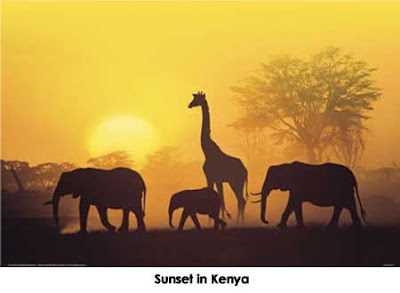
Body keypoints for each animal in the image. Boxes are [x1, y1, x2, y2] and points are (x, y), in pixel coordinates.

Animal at [188, 91, 247, 221]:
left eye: (197, 99)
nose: (189, 105)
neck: (207, 151)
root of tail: (246, 170)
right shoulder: (215, 179)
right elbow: (220, 200)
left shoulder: (212, 178)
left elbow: (218, 200)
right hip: (235, 183)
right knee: (241, 201)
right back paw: (240, 222)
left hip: (236, 182)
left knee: (241, 200)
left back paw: (239, 222)